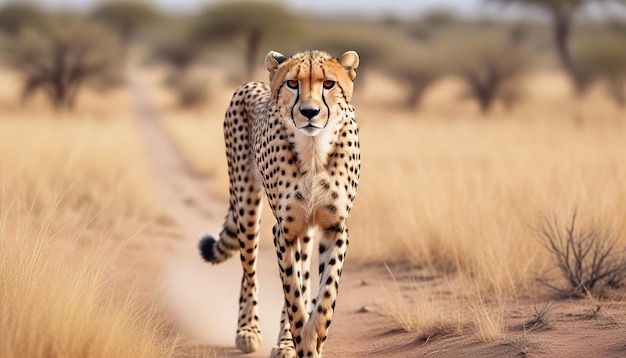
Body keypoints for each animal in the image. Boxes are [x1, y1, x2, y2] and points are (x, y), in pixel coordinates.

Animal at [197, 51, 358, 358]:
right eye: (292, 83)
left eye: (329, 84)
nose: (309, 112)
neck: (314, 149)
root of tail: (254, 83)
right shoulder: (284, 230)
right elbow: (292, 292)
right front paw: (302, 342)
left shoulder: (335, 228)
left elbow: (325, 292)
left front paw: (311, 338)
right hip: (247, 202)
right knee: (249, 273)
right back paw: (248, 330)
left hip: (303, 231)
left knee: (303, 277)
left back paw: (284, 342)